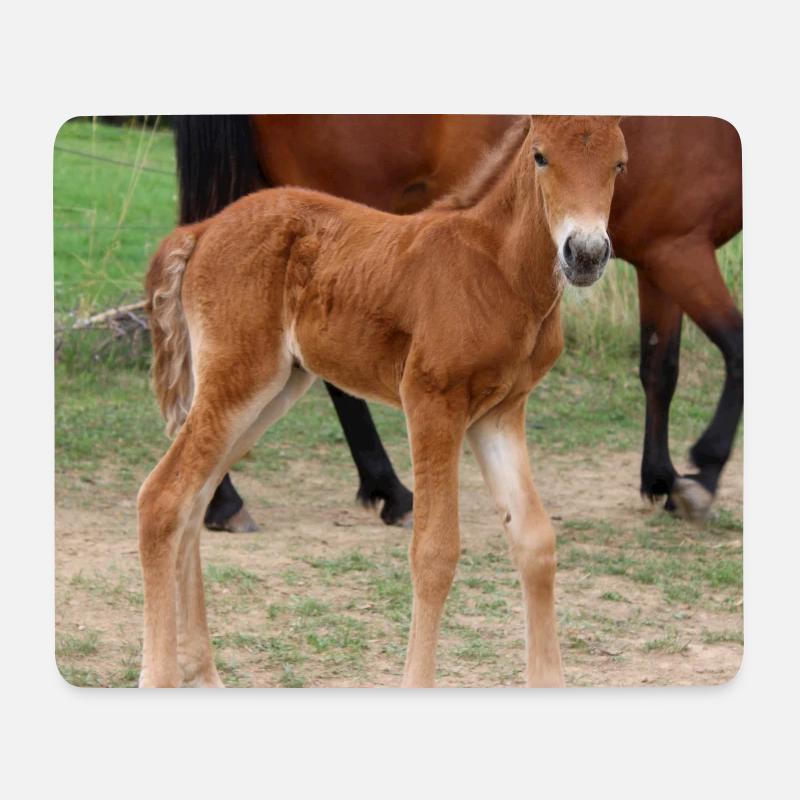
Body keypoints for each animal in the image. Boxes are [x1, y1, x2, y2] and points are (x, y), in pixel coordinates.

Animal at [138, 115, 628, 688]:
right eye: (540, 156)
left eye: (619, 165)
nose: (586, 254)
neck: (496, 269)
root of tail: (202, 231)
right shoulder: (432, 401)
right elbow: (435, 551)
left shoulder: (499, 414)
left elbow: (535, 541)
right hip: (239, 379)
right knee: (163, 497)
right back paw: (161, 675)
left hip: (273, 390)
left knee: (195, 501)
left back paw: (204, 672)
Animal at [174, 114, 742, 530]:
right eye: (540, 157)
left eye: (620, 166)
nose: (584, 255)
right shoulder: (680, 248)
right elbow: (736, 347)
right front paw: (701, 476)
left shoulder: (658, 256)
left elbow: (659, 367)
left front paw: (662, 478)